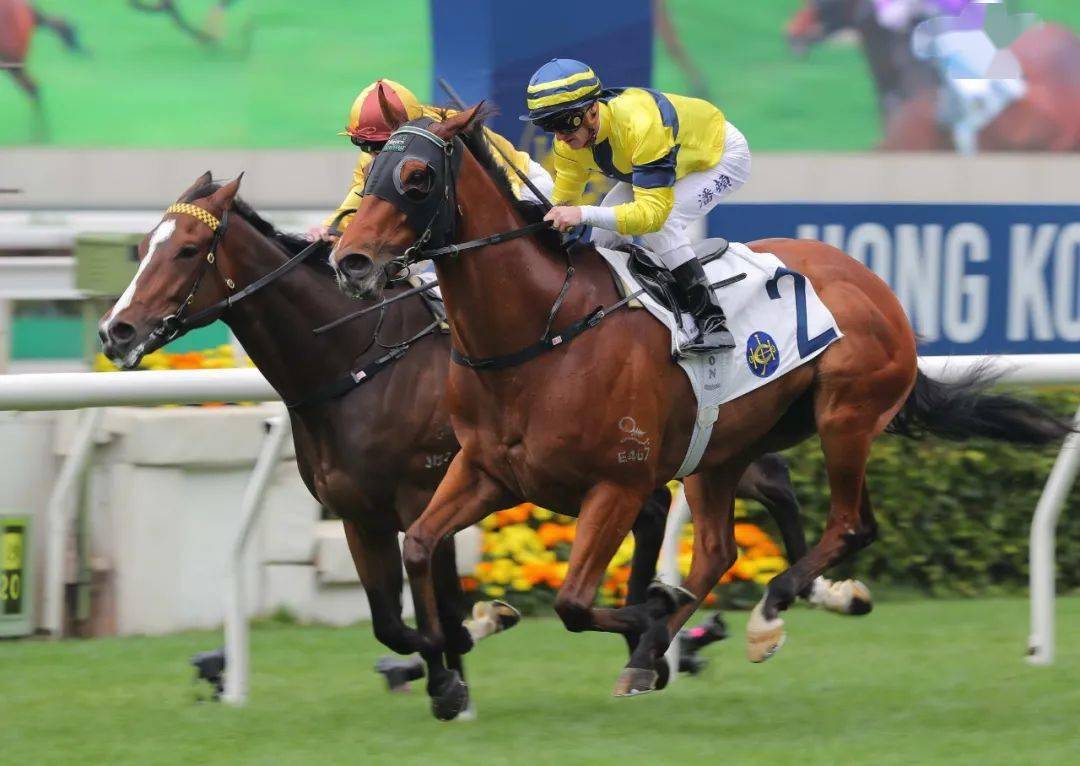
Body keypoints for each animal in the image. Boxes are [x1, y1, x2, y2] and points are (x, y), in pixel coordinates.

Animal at [94, 173, 859, 719]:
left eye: (185, 250)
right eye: (143, 245)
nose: (116, 331)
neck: (358, 363)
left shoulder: (425, 487)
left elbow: (439, 603)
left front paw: (460, 660)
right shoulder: (360, 512)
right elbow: (390, 621)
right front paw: (447, 664)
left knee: (759, 491)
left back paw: (792, 601)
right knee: (678, 512)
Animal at [329, 100, 1072, 707]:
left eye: (417, 177)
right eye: (370, 174)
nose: (350, 262)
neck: (539, 334)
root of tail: (871, 281)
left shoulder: (621, 483)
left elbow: (574, 602)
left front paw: (649, 616)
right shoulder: (485, 470)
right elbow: (421, 545)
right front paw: (448, 664)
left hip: (846, 416)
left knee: (850, 525)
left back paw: (763, 617)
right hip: (722, 449)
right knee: (719, 548)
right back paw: (665, 647)